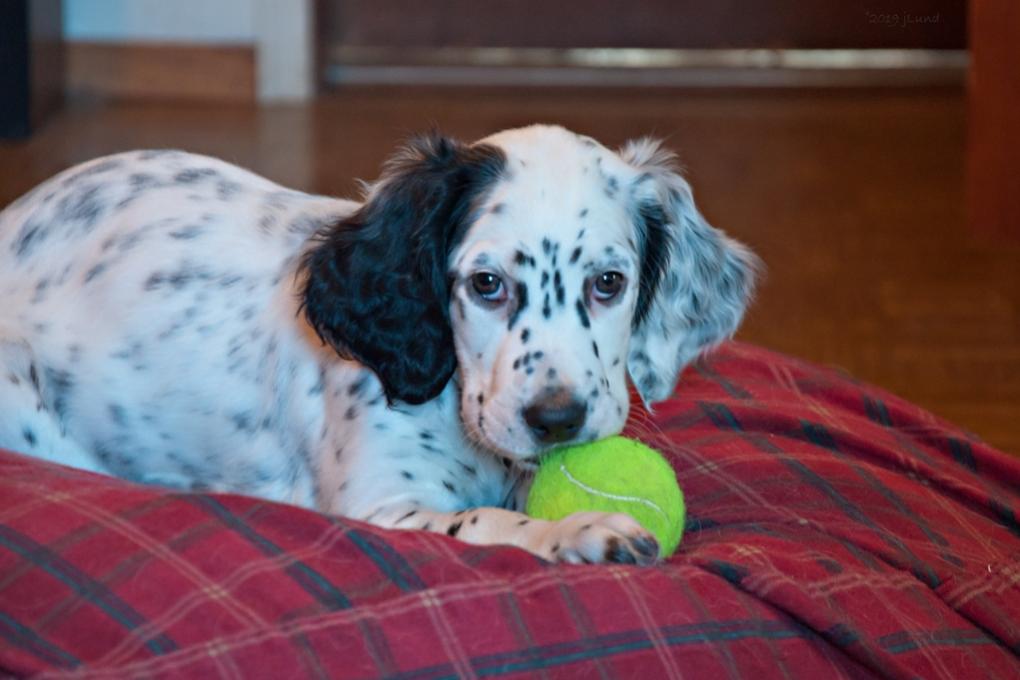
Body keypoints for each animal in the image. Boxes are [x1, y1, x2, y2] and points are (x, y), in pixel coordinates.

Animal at [0, 124, 758, 566]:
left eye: (608, 284)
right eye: (486, 284)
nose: (558, 420)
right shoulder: (379, 507)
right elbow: (483, 522)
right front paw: (576, 532)